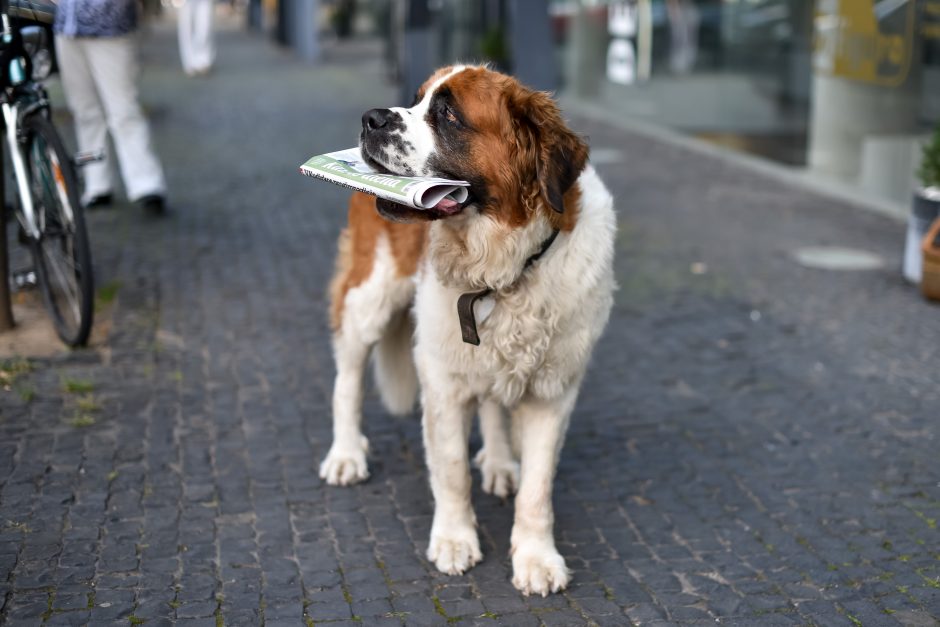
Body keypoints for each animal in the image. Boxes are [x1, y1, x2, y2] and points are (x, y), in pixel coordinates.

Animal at [324, 66, 616, 596]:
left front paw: (536, 558)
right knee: (348, 379)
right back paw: (345, 454)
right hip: (369, 295)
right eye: (416, 100)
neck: (504, 269)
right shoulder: (443, 379)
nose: (371, 118)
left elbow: (538, 488)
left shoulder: (553, 391)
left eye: (448, 114)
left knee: (494, 405)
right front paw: (455, 540)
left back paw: (499, 462)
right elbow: (451, 469)